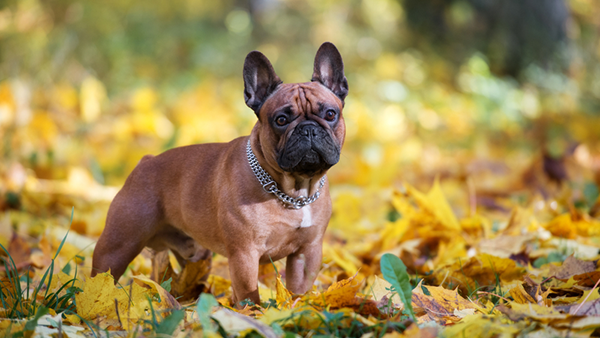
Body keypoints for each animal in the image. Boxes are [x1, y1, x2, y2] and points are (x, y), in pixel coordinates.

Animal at [91, 42, 350, 306]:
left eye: (330, 114)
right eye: (281, 120)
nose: (308, 130)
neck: (293, 191)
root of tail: (146, 161)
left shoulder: (307, 252)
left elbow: (298, 289)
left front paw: (296, 306)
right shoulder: (244, 254)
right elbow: (249, 294)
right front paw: (252, 313)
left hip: (196, 254)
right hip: (118, 246)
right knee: (101, 275)